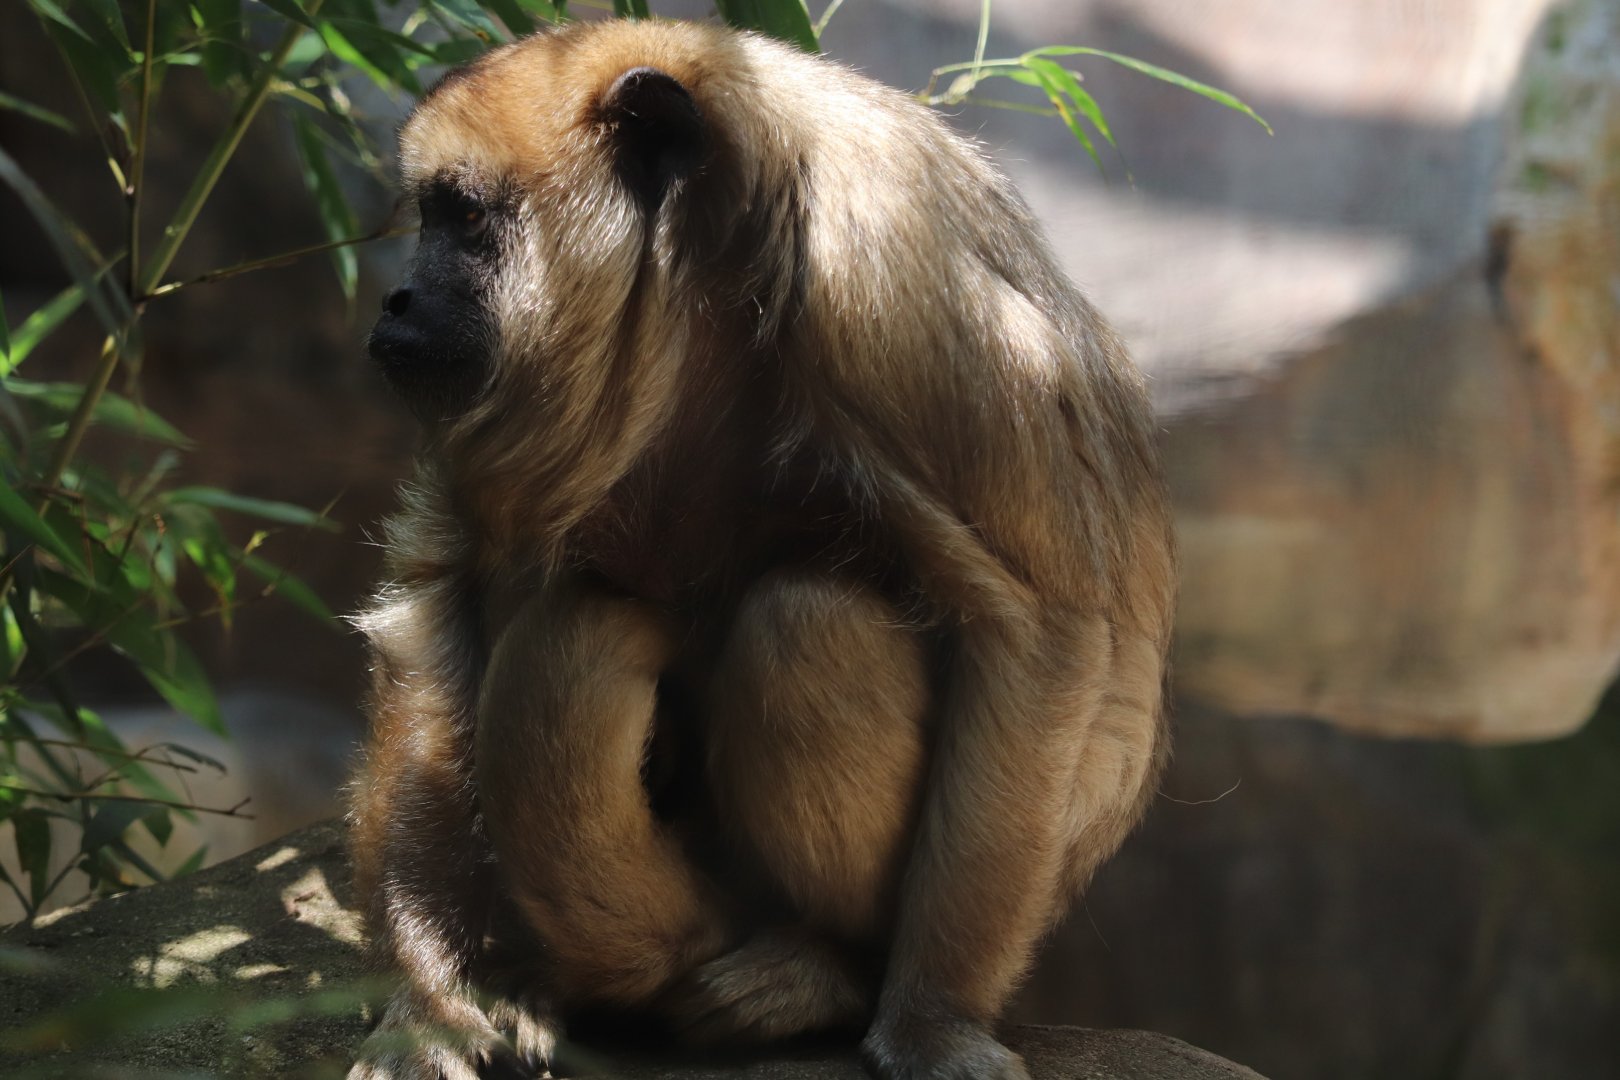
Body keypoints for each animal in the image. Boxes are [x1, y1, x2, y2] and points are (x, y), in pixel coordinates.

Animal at [347, 17, 1175, 1080]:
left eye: (466, 218)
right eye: (429, 215)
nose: (398, 300)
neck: (705, 274)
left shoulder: (888, 280)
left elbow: (1041, 633)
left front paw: (935, 1022)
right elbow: (437, 595)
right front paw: (432, 1003)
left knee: (806, 624)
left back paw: (826, 967)